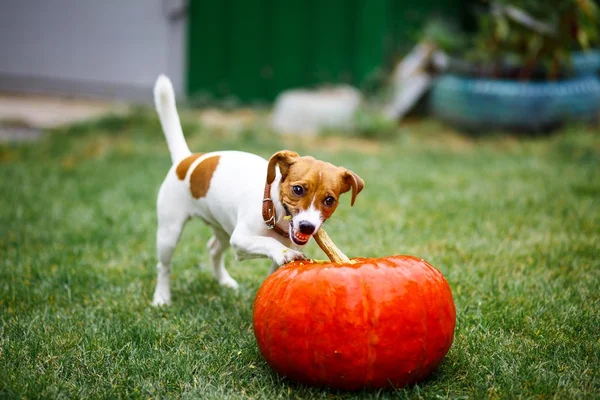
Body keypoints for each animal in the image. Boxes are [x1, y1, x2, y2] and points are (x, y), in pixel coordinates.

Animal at [152, 76, 364, 306]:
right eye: (298, 189)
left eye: (329, 200)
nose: (307, 227)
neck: (275, 211)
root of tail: (186, 160)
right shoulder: (241, 240)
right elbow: (268, 242)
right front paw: (282, 252)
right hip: (169, 233)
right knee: (164, 267)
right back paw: (161, 297)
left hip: (222, 228)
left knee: (214, 249)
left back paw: (224, 281)